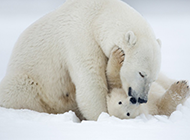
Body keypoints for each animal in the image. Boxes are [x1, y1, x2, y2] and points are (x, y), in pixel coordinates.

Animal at [0, 0, 161, 120]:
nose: (142, 99)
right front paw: (104, 115)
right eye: (141, 73)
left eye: (153, 78)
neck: (98, 15)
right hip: (30, 83)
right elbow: (91, 82)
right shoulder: (80, 38)